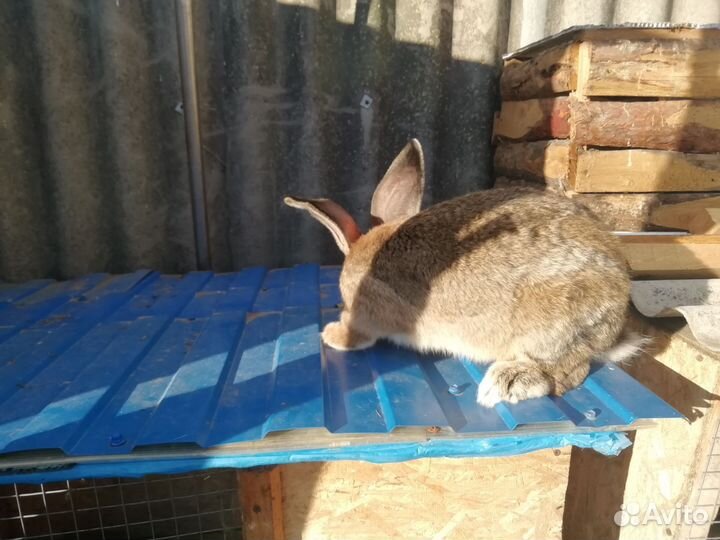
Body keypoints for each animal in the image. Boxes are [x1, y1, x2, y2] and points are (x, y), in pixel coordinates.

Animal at [284, 139, 646, 407]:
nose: (335, 314)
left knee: (570, 371)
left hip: (551, 326)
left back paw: (505, 384)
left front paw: (332, 334)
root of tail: (616, 323)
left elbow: (357, 334)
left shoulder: (366, 319)